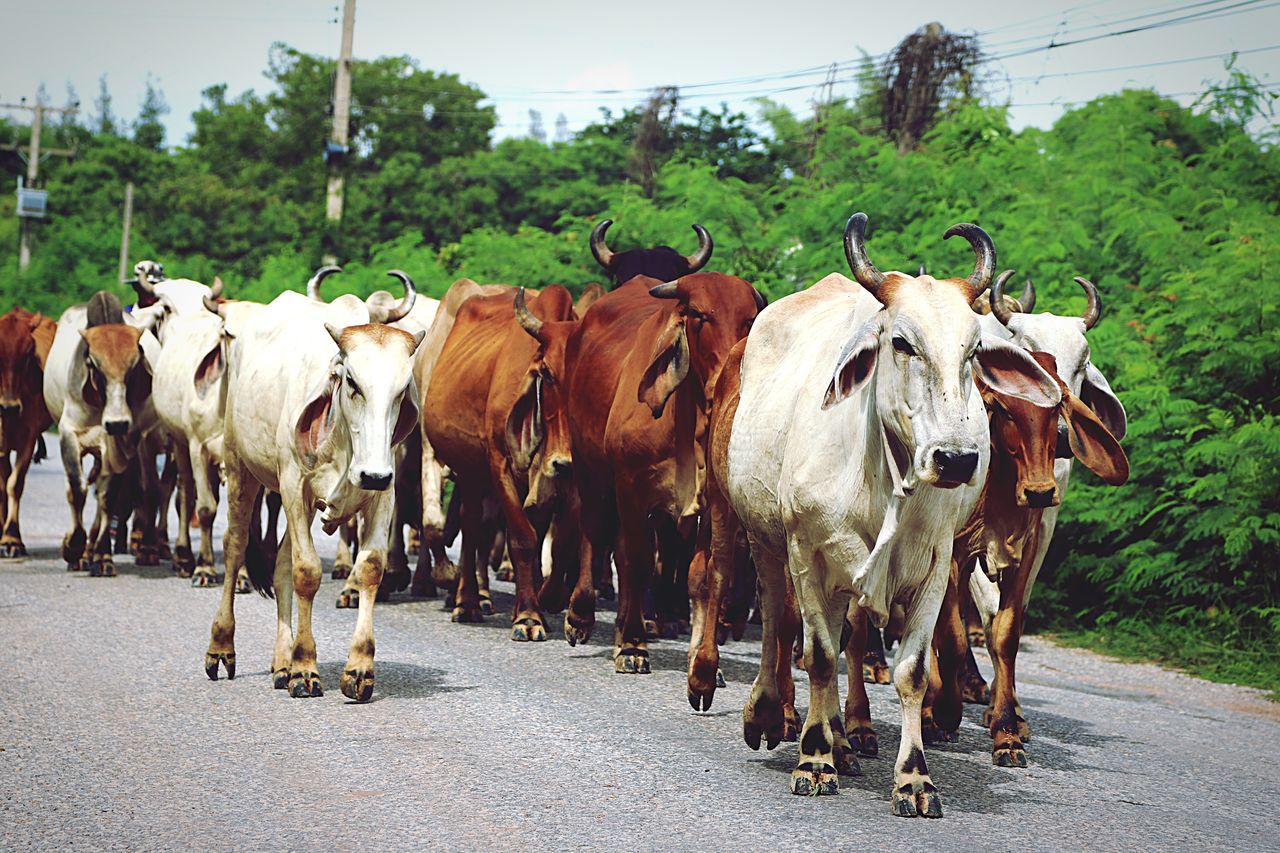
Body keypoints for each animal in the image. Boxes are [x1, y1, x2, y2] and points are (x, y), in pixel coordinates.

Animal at [204, 270, 422, 696]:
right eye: (352, 381)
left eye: (402, 389)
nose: (372, 474)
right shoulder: (293, 488)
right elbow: (306, 573)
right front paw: (305, 666)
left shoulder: (382, 496)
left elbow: (369, 568)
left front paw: (358, 668)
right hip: (241, 470)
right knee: (236, 548)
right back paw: (222, 648)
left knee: (279, 568)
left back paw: (280, 663)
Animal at [424, 285, 576, 637]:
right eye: (548, 374)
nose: (564, 461)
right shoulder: (501, 466)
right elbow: (522, 539)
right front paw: (528, 618)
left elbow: (545, 540)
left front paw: (533, 606)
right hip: (470, 471)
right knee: (470, 524)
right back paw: (466, 603)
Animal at [560, 272, 757, 671]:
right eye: (699, 314)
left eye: (749, 319)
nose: (727, 376)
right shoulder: (630, 487)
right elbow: (637, 563)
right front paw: (633, 645)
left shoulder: (709, 504)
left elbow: (702, 575)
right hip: (589, 467)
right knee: (593, 530)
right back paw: (581, 616)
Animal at [721, 211, 1059, 809]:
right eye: (901, 342)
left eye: (974, 350)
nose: (955, 458)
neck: (883, 478)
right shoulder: (807, 556)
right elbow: (819, 655)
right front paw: (813, 760)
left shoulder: (934, 569)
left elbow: (911, 672)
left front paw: (913, 777)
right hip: (765, 541)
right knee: (780, 623)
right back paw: (773, 717)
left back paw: (844, 742)